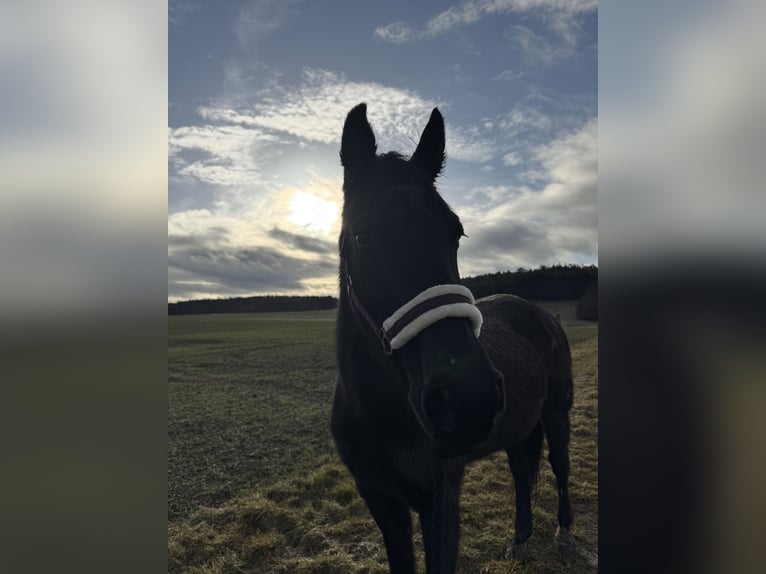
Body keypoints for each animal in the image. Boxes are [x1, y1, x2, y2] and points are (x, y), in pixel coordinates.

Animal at [331, 103, 575, 574]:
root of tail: (542, 316)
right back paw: (519, 539)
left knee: (560, 467)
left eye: (456, 232)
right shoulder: (382, 502)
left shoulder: (438, 505)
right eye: (363, 236)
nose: (468, 399)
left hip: (557, 415)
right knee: (521, 473)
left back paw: (564, 534)